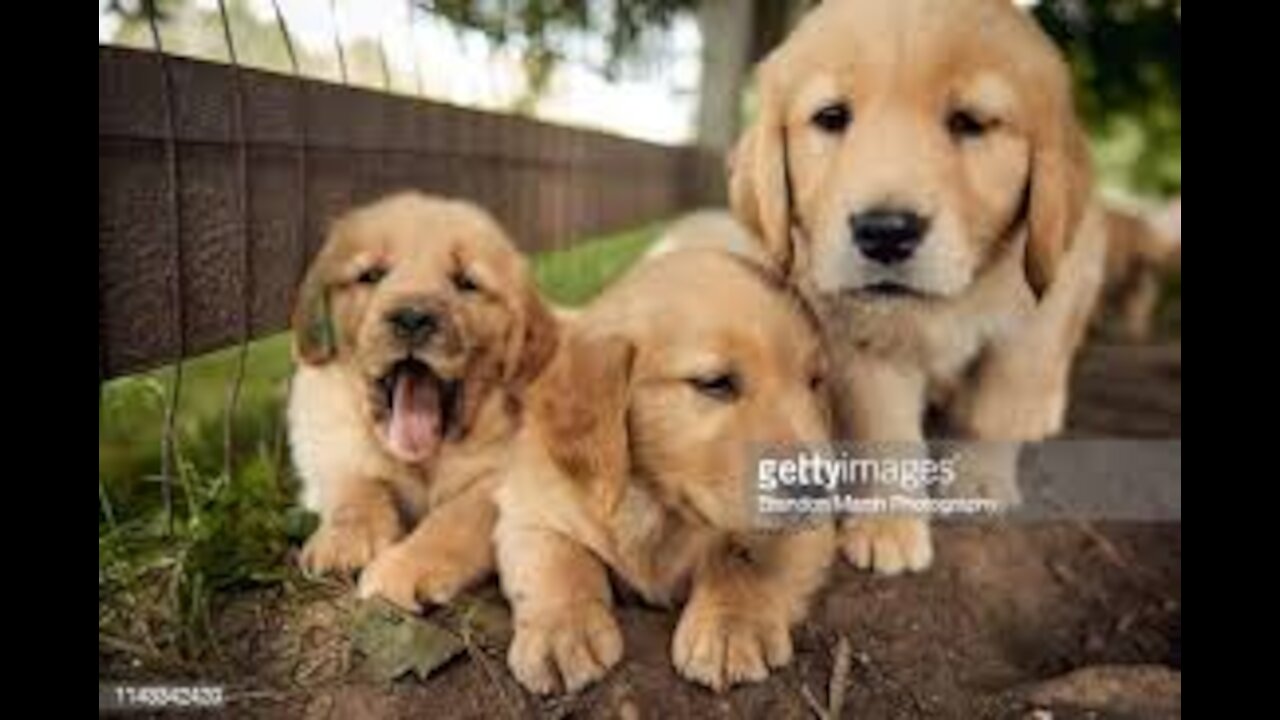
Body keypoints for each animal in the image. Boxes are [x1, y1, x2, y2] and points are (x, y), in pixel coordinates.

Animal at [289, 189, 555, 604]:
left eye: (466, 282)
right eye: (371, 275)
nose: (412, 318)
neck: (425, 462)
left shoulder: (508, 479)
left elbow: (457, 517)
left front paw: (402, 568)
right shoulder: (331, 444)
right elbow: (354, 483)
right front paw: (344, 539)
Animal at [494, 249, 834, 691]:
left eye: (814, 381)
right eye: (715, 383)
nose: (819, 487)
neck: (658, 506)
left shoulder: (812, 531)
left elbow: (742, 554)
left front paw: (731, 624)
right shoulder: (532, 507)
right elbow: (556, 558)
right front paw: (562, 631)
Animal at [732, 0, 1111, 571]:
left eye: (970, 122)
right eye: (831, 117)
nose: (885, 231)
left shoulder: (1033, 322)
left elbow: (998, 404)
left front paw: (979, 482)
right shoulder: (857, 336)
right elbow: (883, 428)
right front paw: (887, 523)